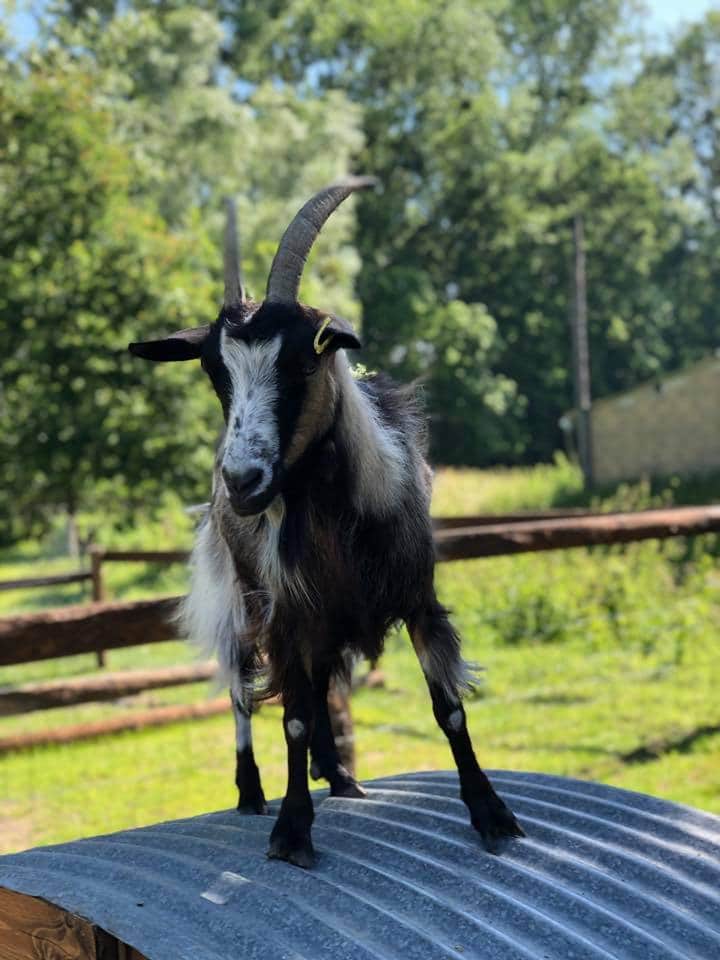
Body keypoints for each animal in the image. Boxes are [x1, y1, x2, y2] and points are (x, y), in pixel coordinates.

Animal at [131, 176, 524, 868]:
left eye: (302, 361)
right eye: (214, 372)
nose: (242, 482)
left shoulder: (417, 600)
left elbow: (447, 709)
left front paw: (492, 814)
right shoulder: (286, 611)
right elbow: (289, 716)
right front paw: (291, 831)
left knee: (318, 694)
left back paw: (339, 776)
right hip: (242, 598)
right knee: (242, 689)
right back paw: (252, 792)